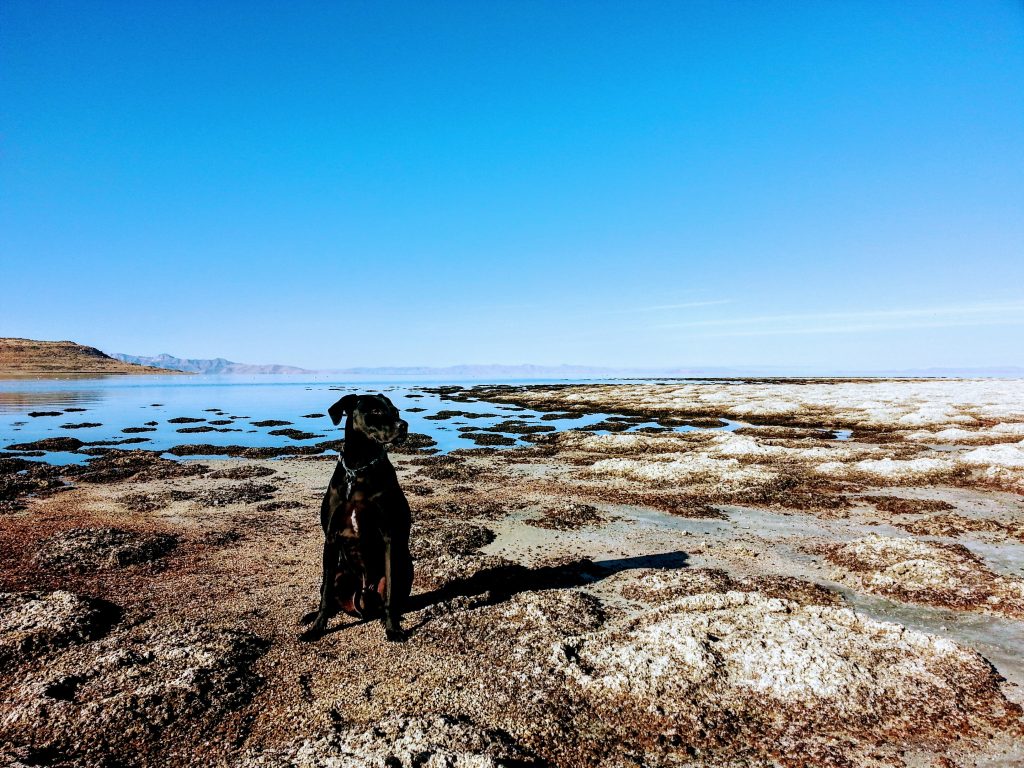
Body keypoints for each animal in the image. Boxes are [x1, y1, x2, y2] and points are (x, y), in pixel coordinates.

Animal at [301, 393, 413, 638]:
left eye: (396, 411)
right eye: (376, 411)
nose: (404, 425)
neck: (359, 469)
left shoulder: (388, 536)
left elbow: (390, 593)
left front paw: (392, 629)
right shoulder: (331, 538)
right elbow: (325, 597)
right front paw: (317, 628)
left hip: (404, 566)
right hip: (338, 573)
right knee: (330, 595)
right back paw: (311, 616)